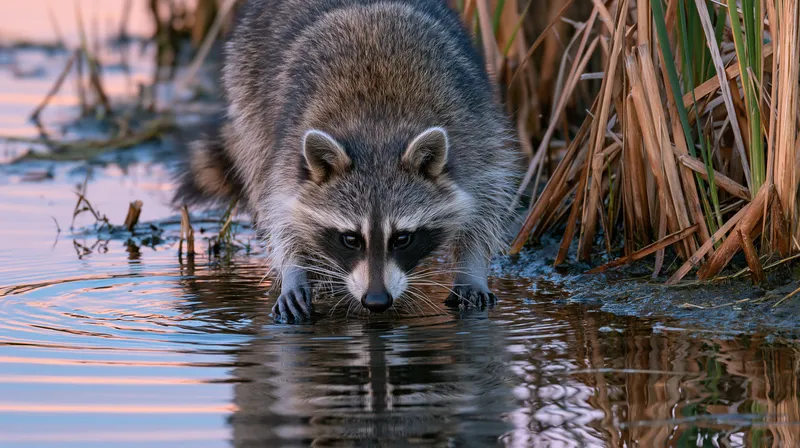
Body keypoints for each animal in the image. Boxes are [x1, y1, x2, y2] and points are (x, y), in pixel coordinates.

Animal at [176, 0, 520, 322]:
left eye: (402, 238)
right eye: (350, 239)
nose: (377, 300)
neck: (378, 130)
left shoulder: (474, 136)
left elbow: (487, 201)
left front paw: (471, 267)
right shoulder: (286, 150)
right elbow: (280, 208)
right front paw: (293, 269)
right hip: (247, 90)